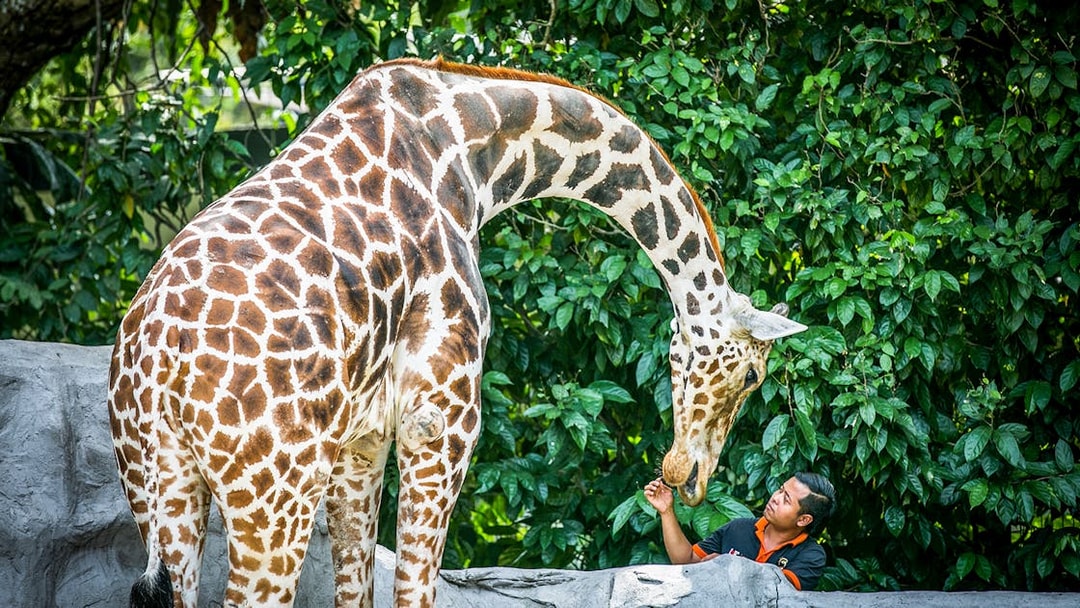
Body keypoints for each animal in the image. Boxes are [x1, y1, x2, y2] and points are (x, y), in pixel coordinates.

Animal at [108, 57, 806, 608]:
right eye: (752, 375)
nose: (691, 476)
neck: (477, 151)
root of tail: (155, 362)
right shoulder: (440, 421)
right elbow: (415, 591)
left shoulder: (361, 441)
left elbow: (358, 589)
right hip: (272, 499)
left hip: (159, 489)